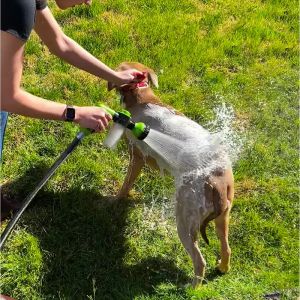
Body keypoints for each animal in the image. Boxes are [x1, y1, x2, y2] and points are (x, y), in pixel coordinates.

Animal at [108, 62, 234, 288]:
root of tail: (217, 183)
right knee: (226, 248)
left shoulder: (136, 156)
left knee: (199, 261)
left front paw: (116, 199)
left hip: (185, 222)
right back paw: (222, 268)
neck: (143, 98)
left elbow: (126, 184)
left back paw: (192, 289)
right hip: (223, 217)